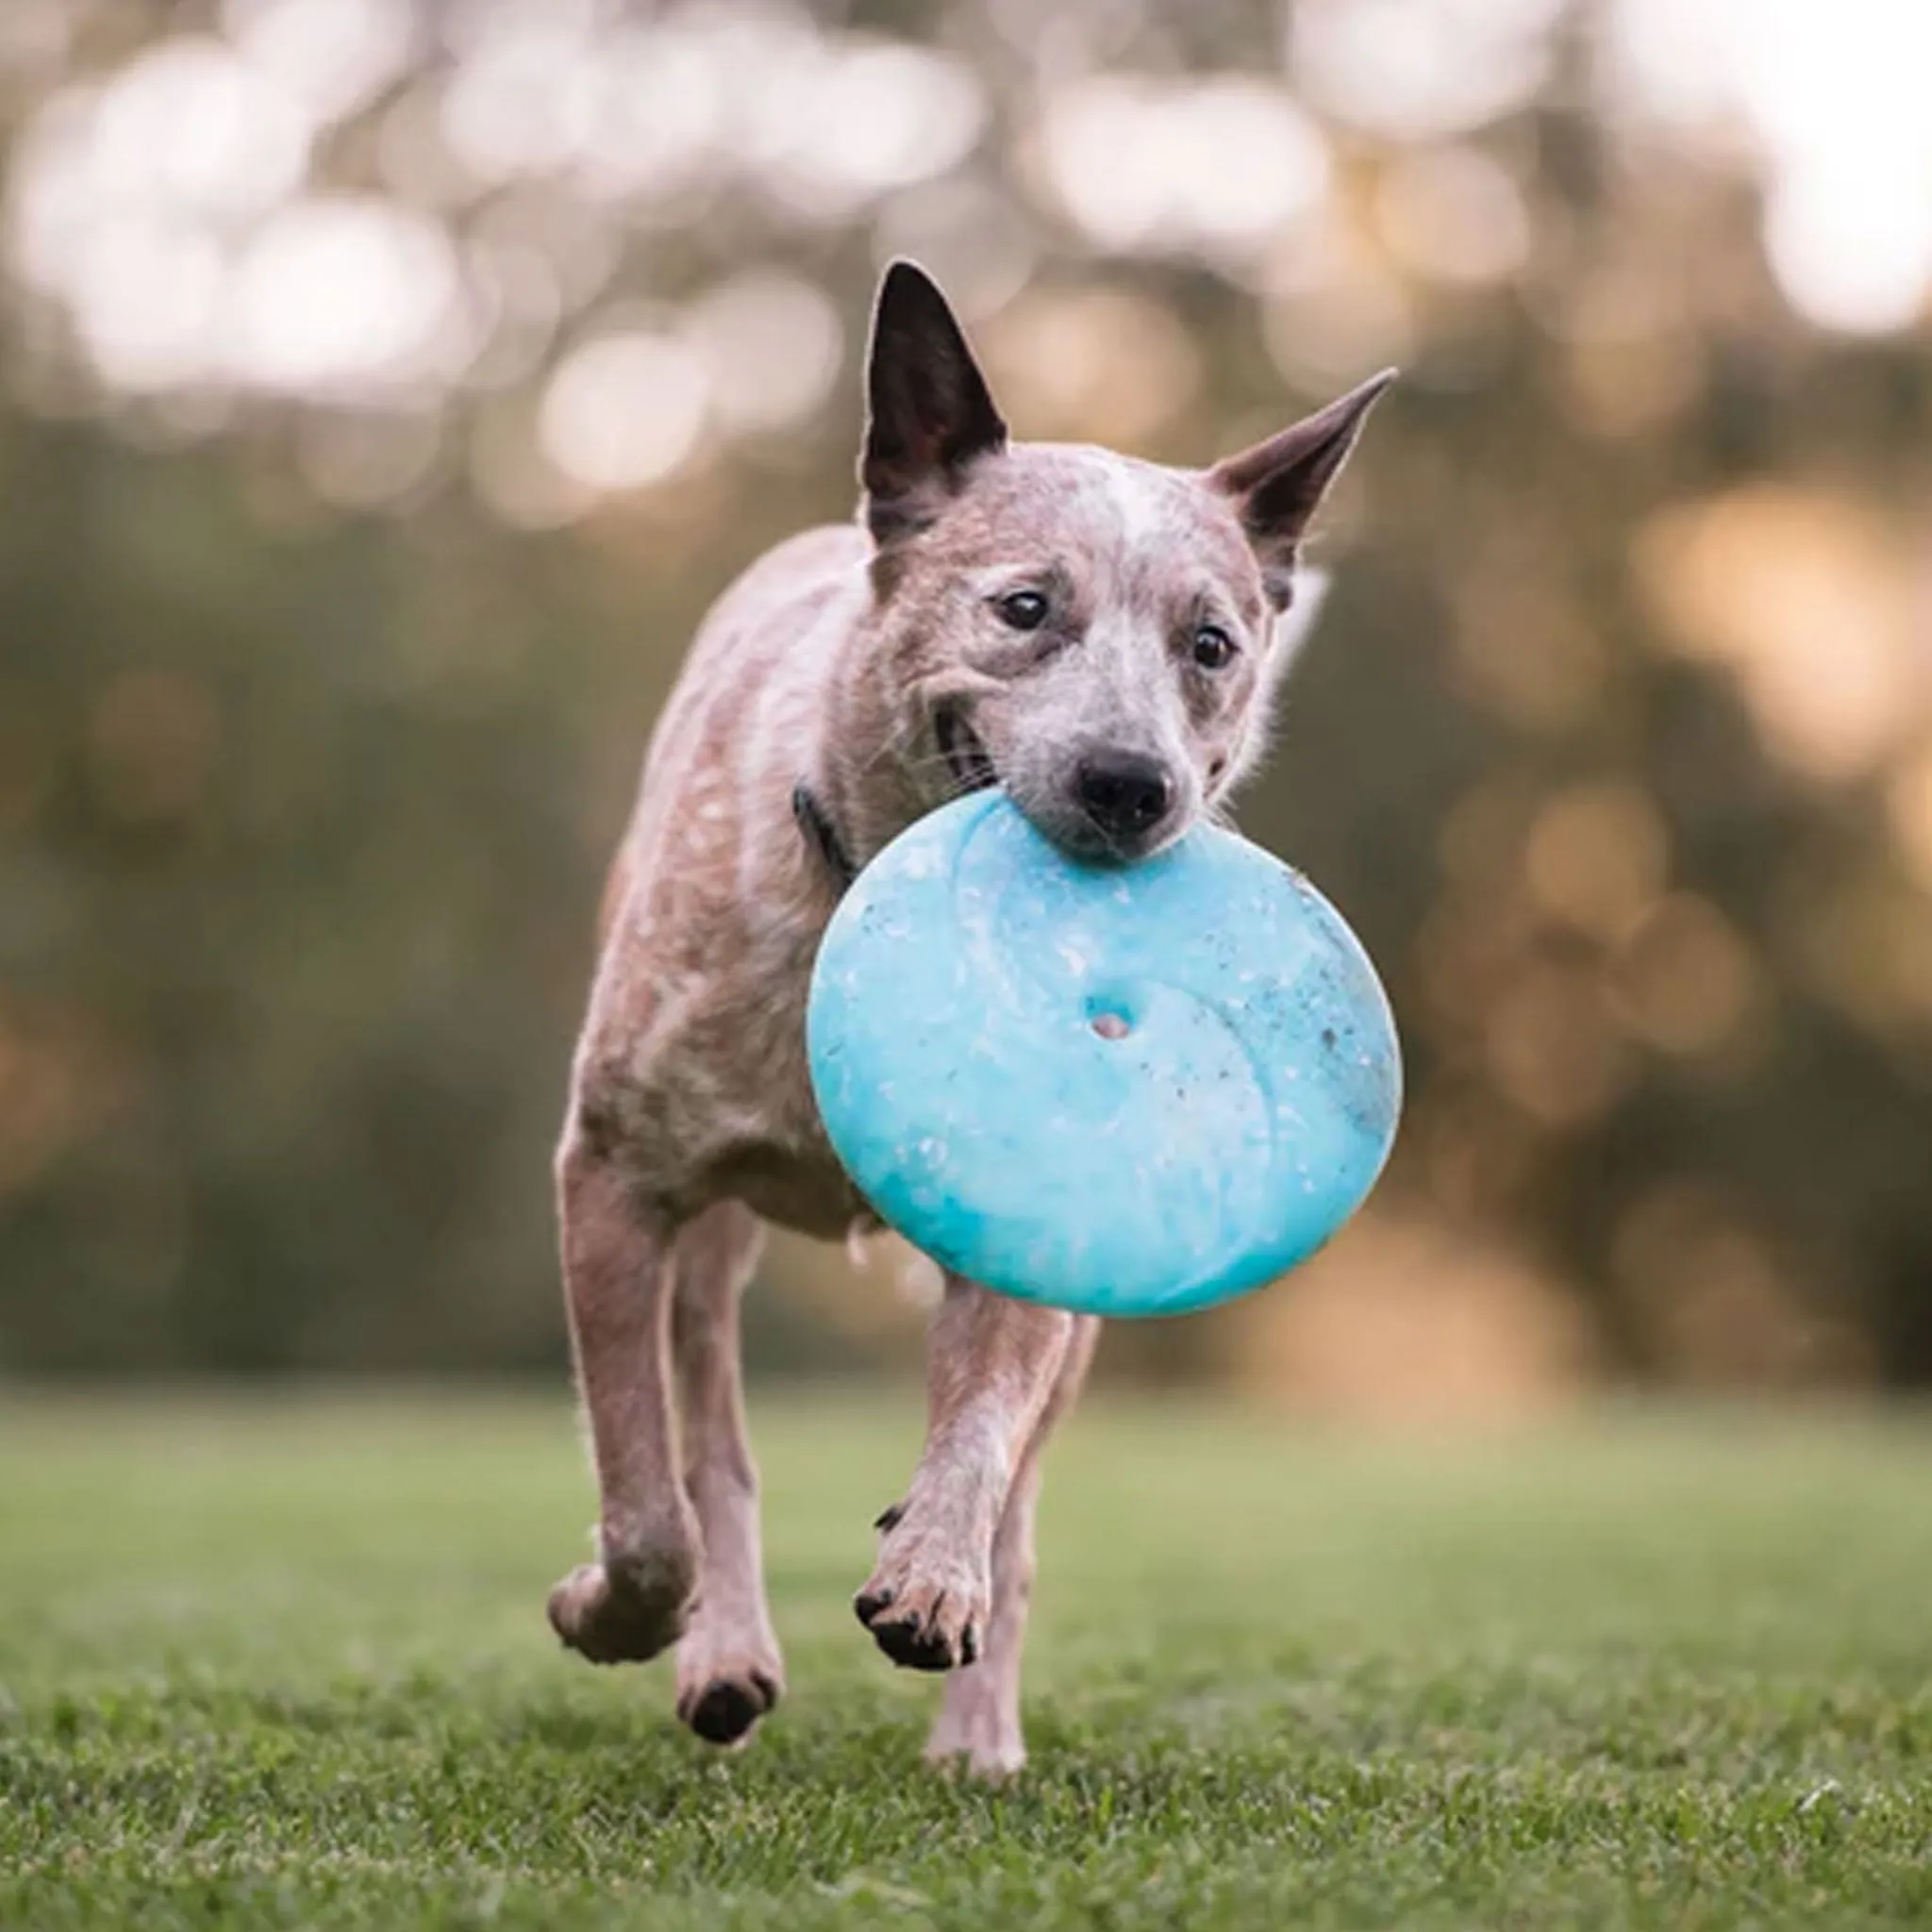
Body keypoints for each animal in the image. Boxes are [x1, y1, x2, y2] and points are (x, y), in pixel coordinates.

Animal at [544, 260, 1391, 1777]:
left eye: (1212, 645)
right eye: (1023, 607)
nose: (1131, 784)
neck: (850, 902)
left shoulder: (1035, 1222)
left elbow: (981, 1424)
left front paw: (933, 1571)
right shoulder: (614, 1174)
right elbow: (647, 1500)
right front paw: (612, 1611)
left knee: (1022, 1498)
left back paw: (975, 1729)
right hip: (710, 1243)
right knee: (713, 1445)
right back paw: (726, 1651)